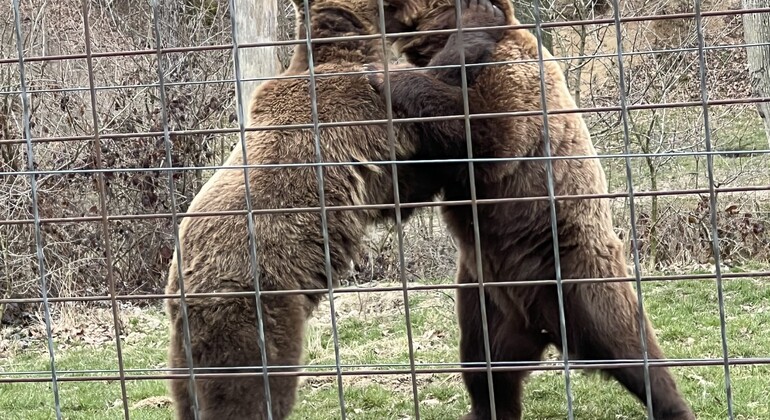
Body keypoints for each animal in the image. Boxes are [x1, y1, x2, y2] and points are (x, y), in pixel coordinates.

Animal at [163, 0, 505, 419]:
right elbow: (418, 110)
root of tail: (181, 297)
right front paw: (479, 24)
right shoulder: (360, 114)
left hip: (182, 357)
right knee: (251, 389)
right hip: (253, 312)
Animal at [367, 0, 697, 419]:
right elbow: (407, 184)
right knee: (487, 370)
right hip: (487, 304)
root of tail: (541, 324)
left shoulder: (515, 82)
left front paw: (387, 74)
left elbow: (488, 132)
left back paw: (673, 404)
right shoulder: (438, 162)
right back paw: (486, 408)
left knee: (630, 345)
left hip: (577, 273)